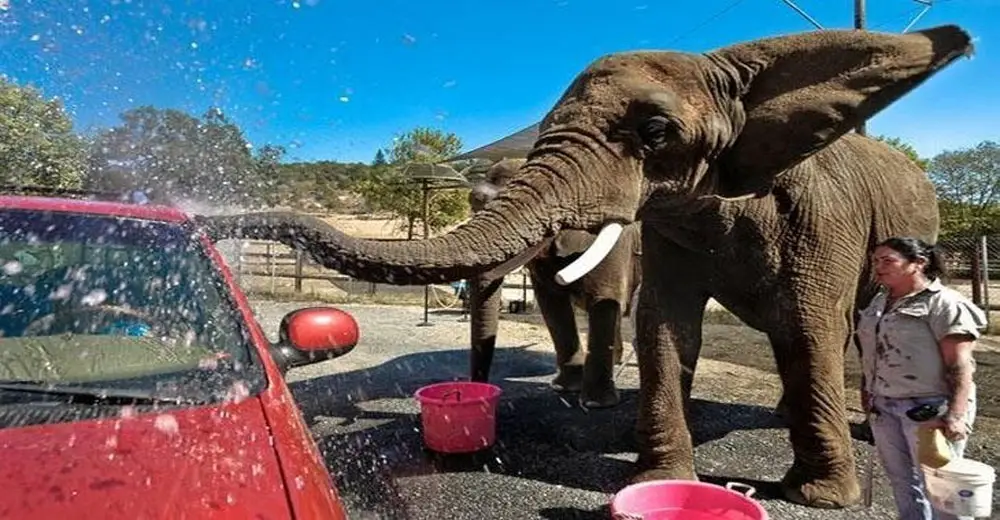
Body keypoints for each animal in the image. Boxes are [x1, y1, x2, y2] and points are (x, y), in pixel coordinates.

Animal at [466, 156, 644, 408]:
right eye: (473, 203)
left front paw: (596, 404)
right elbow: (552, 304)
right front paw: (563, 388)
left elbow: (603, 296)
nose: (479, 391)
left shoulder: (616, 241)